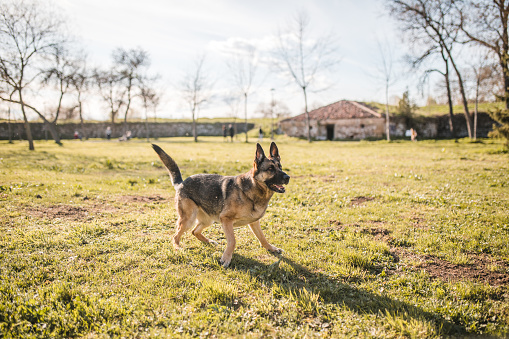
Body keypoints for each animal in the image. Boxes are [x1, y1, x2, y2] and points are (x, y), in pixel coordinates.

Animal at [151, 142, 288, 266]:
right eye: (270, 169)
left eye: (280, 166)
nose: (288, 177)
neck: (253, 189)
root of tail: (181, 183)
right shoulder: (226, 220)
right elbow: (232, 241)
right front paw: (226, 259)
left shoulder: (254, 222)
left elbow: (262, 237)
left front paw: (271, 248)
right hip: (189, 219)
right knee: (176, 236)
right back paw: (177, 248)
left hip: (208, 220)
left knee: (195, 232)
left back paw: (209, 242)